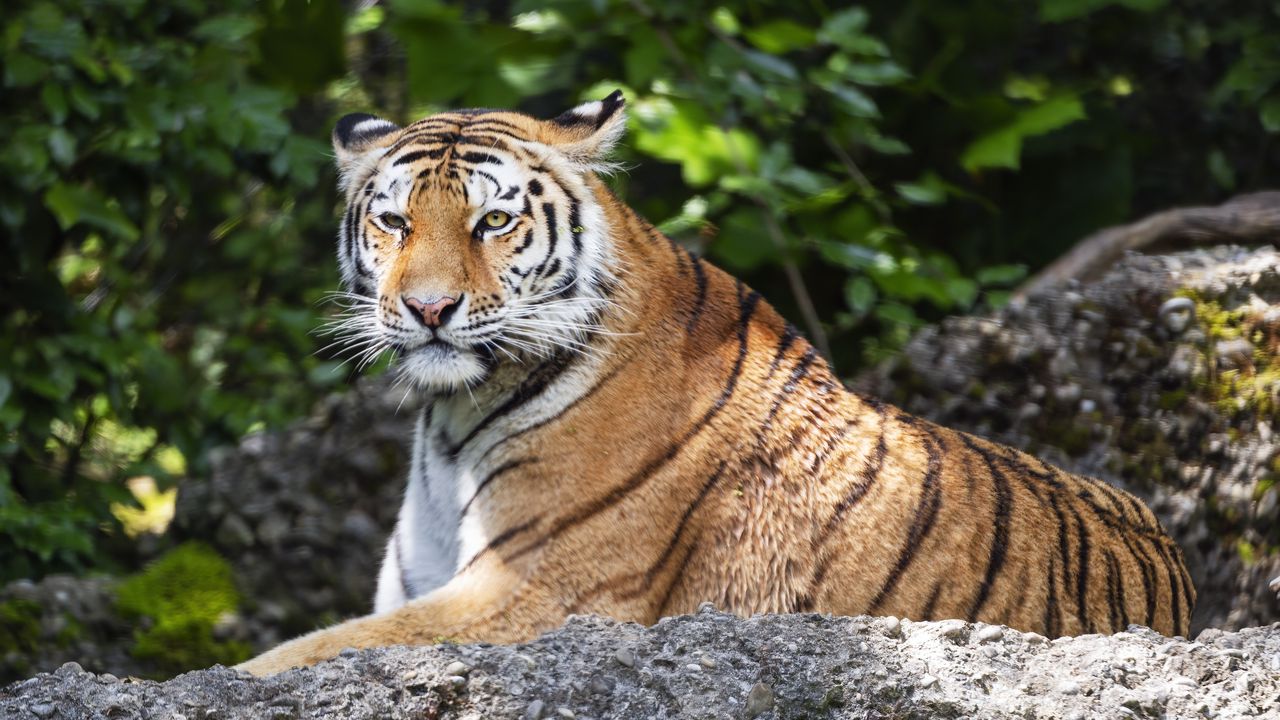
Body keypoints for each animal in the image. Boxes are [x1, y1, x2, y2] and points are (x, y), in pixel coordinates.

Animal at [237, 91, 1195, 675]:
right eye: (395, 222)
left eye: (494, 221)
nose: (429, 308)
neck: (451, 422)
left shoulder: (534, 592)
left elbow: (298, 653)